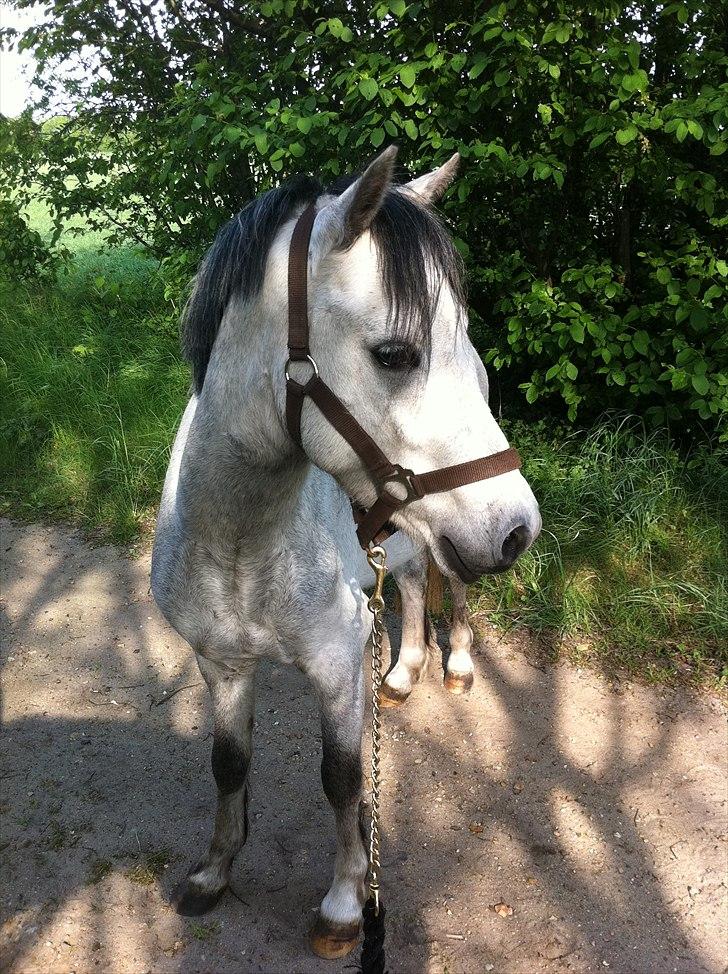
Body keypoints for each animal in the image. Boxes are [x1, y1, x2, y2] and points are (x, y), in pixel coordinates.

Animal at [152, 147, 540, 960]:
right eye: (394, 354)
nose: (520, 529)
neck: (239, 542)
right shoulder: (220, 663)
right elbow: (228, 764)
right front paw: (213, 873)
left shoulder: (334, 666)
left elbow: (343, 778)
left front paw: (342, 906)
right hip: (412, 530)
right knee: (417, 579)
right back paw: (402, 673)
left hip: (450, 534)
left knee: (452, 584)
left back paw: (455, 666)